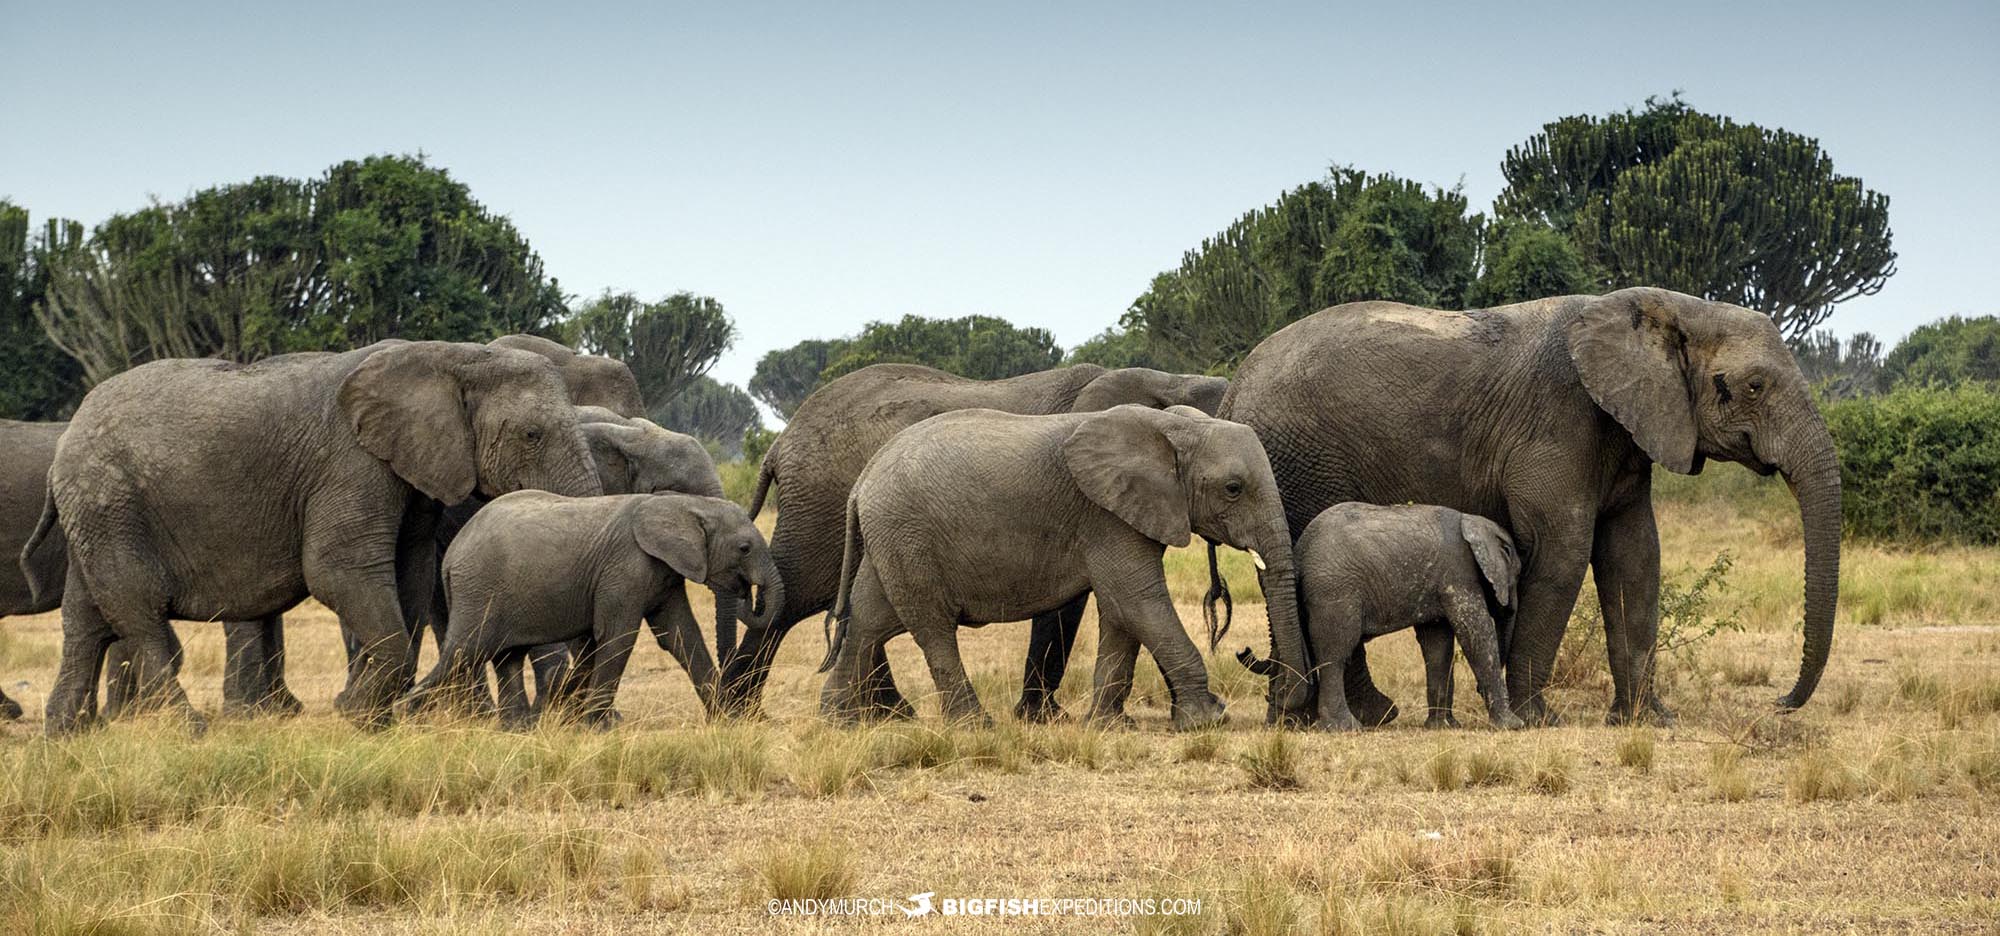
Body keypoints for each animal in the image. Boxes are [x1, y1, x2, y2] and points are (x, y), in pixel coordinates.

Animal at [35, 340, 600, 736]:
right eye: (532, 435)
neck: (450, 355)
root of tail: (67, 436)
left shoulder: (415, 475)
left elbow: (409, 576)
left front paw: (370, 717)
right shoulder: (351, 464)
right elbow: (337, 570)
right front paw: (357, 715)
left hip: (98, 515)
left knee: (86, 619)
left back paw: (65, 735)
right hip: (112, 506)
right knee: (139, 613)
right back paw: (187, 729)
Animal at [400, 494, 780, 728]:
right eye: (744, 548)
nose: (748, 593)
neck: (684, 504)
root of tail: (451, 558)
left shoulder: (662, 574)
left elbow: (680, 635)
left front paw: (727, 719)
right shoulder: (625, 568)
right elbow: (618, 637)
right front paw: (597, 726)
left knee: (507, 657)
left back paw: (518, 728)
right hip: (480, 589)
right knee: (465, 652)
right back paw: (404, 717)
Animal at [712, 362, 1224, 720]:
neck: (1161, 377)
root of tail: (780, 443)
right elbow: (1075, 604)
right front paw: (1045, 718)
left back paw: (886, 713)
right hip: (823, 505)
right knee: (793, 596)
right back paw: (735, 713)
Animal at [1232, 504, 1528, 732]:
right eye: (1516, 576)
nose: (1477, 691)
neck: (1473, 522)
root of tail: (1300, 552)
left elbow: (1437, 644)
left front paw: (1442, 727)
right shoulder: (1458, 572)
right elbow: (1474, 630)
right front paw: (1512, 726)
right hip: (1335, 593)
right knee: (1335, 654)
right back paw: (1344, 728)